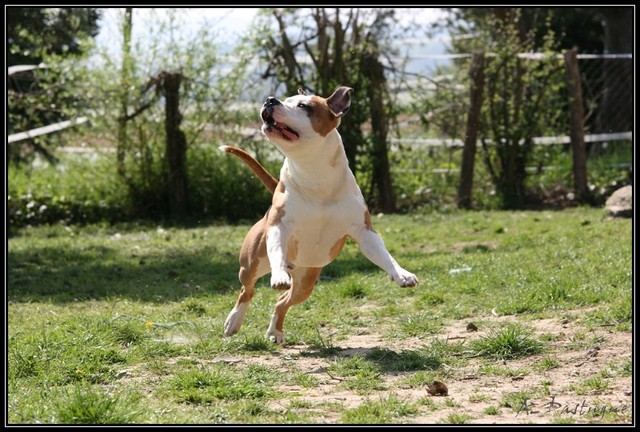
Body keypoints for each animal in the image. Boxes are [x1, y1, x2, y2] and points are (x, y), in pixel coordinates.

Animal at [220, 86, 418, 344]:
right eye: (286, 100)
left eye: (304, 106)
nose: (271, 100)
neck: (314, 173)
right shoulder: (279, 227)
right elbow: (277, 251)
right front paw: (278, 276)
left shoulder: (364, 231)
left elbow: (385, 256)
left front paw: (402, 274)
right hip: (252, 263)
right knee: (247, 289)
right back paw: (234, 321)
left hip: (306, 281)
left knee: (282, 302)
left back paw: (275, 331)